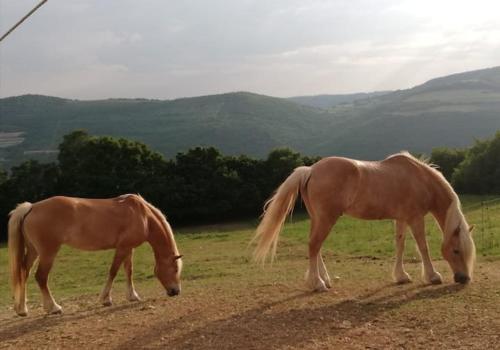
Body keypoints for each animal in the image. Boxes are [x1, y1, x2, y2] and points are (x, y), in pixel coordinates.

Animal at [7, 194, 184, 318]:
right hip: (48, 252)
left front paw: (132, 296)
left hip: (33, 251)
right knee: (41, 277)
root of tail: (32, 207)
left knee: (24, 273)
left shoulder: (128, 248)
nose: (175, 291)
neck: (143, 216)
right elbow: (113, 271)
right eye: (175, 269)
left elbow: (129, 271)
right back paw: (54, 308)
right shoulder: (122, 248)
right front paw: (105, 299)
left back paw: (22, 309)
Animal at [254, 152, 476, 292]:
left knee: (316, 247)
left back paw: (324, 279)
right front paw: (433, 276)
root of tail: (310, 170)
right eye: (456, 250)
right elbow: (423, 246)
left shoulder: (401, 219)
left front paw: (401, 276)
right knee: (314, 245)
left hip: (318, 218)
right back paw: (317, 284)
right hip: (326, 218)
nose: (464, 279)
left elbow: (400, 245)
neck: (420, 179)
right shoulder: (415, 218)